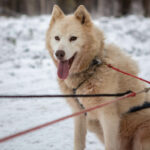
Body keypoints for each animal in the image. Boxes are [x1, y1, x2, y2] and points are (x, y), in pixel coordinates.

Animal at [46, 4, 150, 150]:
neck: (92, 68)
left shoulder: (108, 117)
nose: (59, 53)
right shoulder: (79, 114)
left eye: (73, 38)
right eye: (57, 38)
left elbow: (110, 145)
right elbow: (78, 143)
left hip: (141, 133)